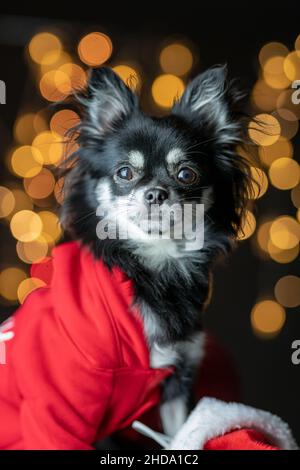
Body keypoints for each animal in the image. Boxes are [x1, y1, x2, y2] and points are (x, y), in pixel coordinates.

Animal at [60, 65, 251, 436]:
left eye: (187, 174)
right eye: (124, 172)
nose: (155, 193)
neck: (157, 263)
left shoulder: (179, 379)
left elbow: (183, 434)